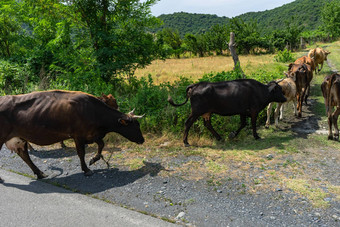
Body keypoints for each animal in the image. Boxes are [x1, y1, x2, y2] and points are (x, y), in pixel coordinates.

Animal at [0, 89, 144, 179]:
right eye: (135, 126)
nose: (142, 140)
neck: (93, 111)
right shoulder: (78, 135)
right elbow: (81, 153)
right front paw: (86, 169)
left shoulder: (92, 134)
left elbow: (101, 144)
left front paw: (94, 159)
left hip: (19, 138)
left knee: (24, 155)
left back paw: (40, 173)